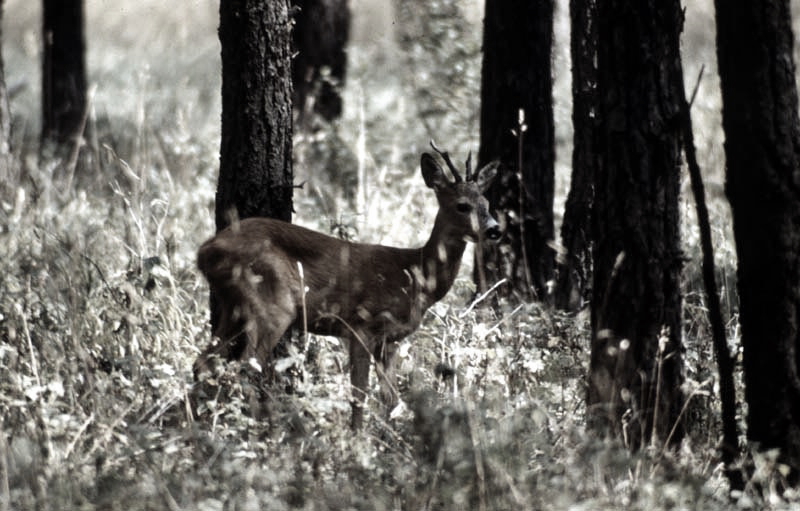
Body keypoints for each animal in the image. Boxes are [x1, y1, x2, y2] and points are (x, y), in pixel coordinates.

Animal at [196, 146, 496, 430]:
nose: (494, 229)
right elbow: (359, 393)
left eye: (487, 203)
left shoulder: (390, 341)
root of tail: (205, 250)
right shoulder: (362, 324)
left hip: (233, 307)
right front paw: (359, 438)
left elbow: (392, 399)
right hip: (272, 303)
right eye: (462, 205)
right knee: (244, 367)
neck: (414, 276)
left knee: (205, 363)